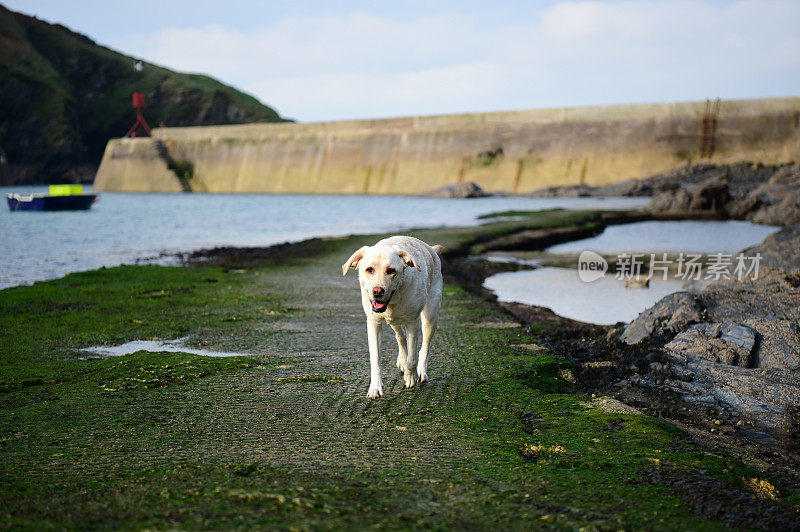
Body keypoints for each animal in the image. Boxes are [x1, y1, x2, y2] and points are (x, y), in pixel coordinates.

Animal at [342, 237, 444, 400]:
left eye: (390, 270)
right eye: (369, 269)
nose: (377, 292)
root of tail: (431, 249)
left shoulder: (412, 322)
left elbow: (412, 357)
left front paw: (411, 377)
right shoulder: (373, 323)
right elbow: (375, 358)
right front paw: (375, 388)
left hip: (430, 316)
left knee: (424, 347)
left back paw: (421, 372)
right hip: (394, 321)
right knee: (400, 336)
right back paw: (402, 359)